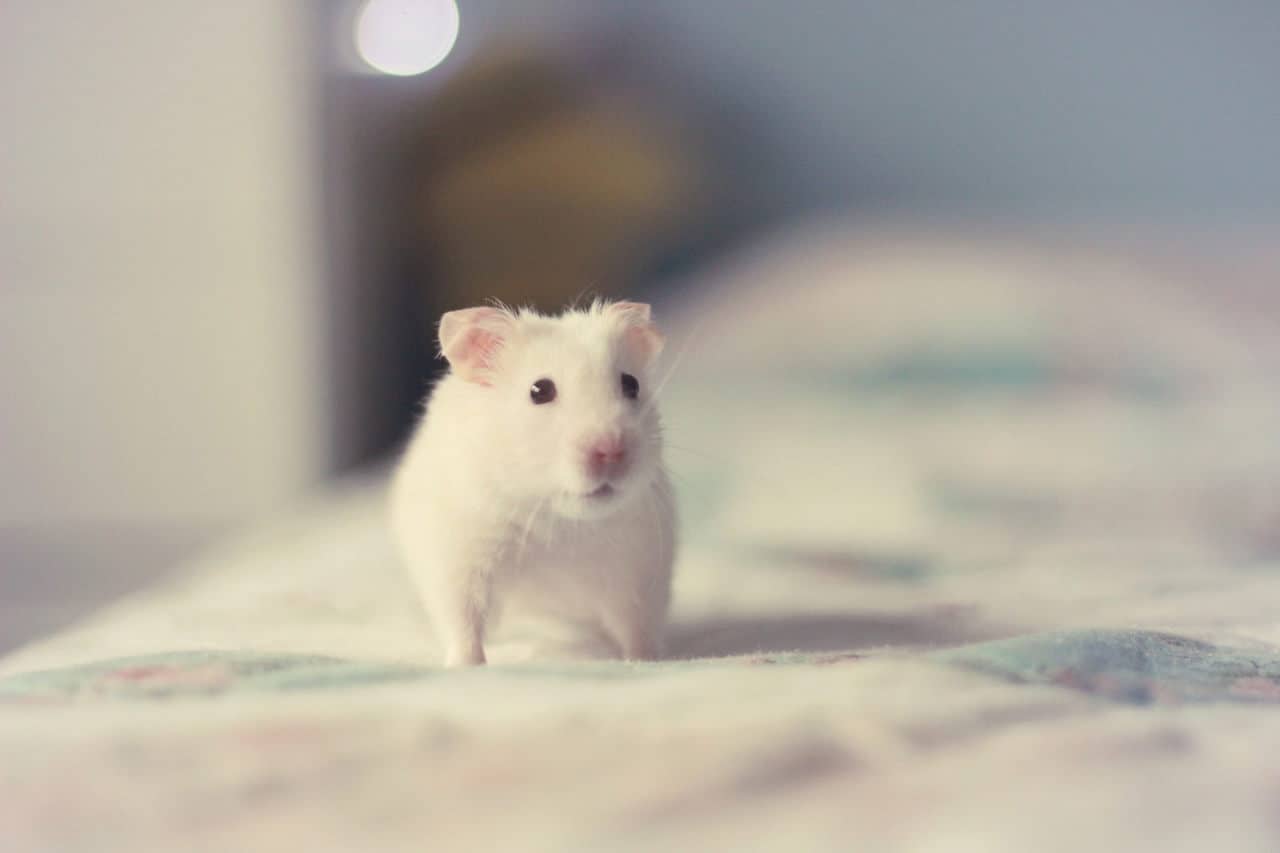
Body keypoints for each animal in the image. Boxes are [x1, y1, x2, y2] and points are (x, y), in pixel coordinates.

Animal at [390, 300, 676, 667]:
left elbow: (638, 627)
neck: (558, 521)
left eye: (631, 384)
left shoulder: (642, 569)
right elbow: (464, 624)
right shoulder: (457, 560)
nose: (611, 450)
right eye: (540, 391)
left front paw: (645, 662)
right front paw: (466, 667)